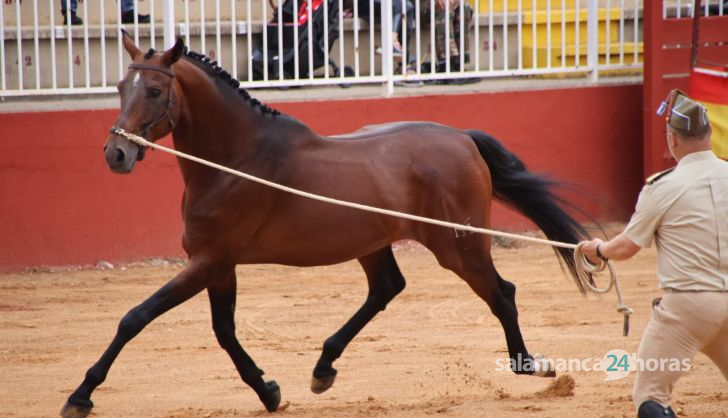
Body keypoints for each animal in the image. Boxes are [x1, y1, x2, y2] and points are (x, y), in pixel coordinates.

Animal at [59, 33, 588, 418]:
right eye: (119, 89)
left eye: (153, 91)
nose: (116, 154)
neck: (235, 161)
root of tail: (461, 138)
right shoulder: (218, 266)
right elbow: (224, 331)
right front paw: (269, 390)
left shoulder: (208, 262)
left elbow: (136, 317)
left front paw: (80, 396)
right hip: (374, 242)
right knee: (386, 288)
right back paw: (323, 367)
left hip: (459, 246)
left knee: (501, 292)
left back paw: (530, 364)